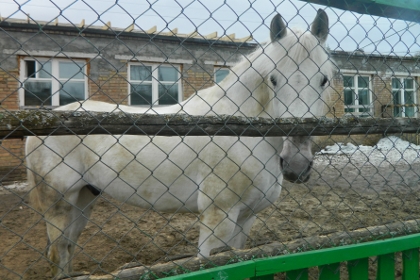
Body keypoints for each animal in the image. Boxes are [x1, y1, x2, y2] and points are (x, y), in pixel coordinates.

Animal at [27, 9, 334, 278]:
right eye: (273, 79)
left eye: (324, 80)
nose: (296, 164)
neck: (241, 133)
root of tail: (40, 123)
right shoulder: (217, 218)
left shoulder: (245, 219)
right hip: (59, 205)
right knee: (58, 253)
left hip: (84, 199)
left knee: (68, 249)